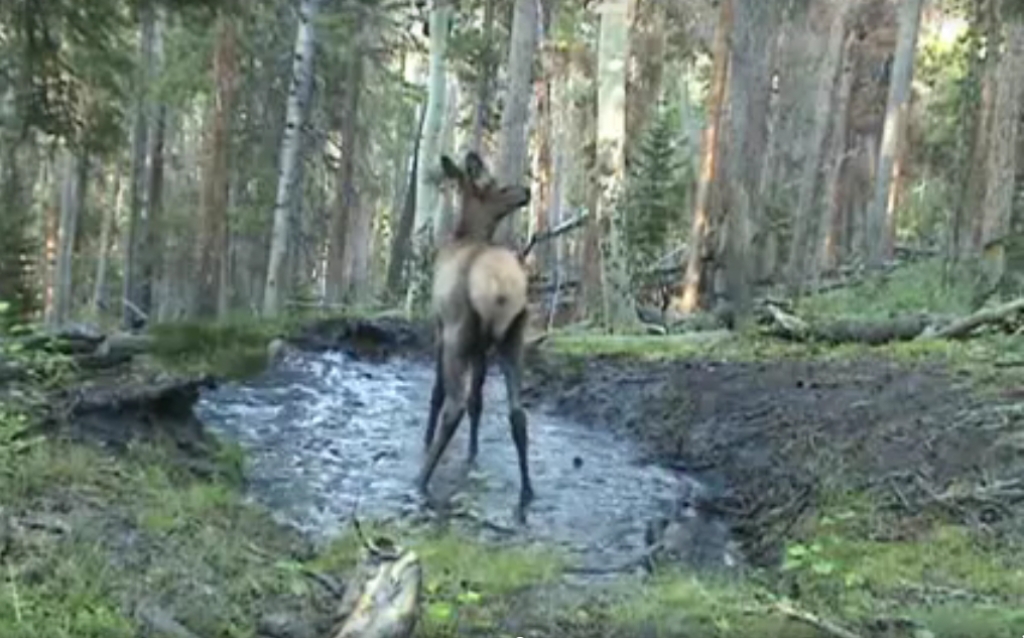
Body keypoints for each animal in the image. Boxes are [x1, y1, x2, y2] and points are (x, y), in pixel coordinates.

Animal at [417, 150, 536, 514]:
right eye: (499, 186)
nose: (526, 190)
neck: (464, 235)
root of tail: (501, 287)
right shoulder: (483, 347)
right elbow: (478, 400)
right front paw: (472, 452)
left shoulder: (439, 328)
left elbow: (438, 391)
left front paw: (426, 438)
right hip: (513, 336)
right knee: (517, 412)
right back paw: (527, 491)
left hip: (459, 332)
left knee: (453, 405)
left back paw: (421, 480)